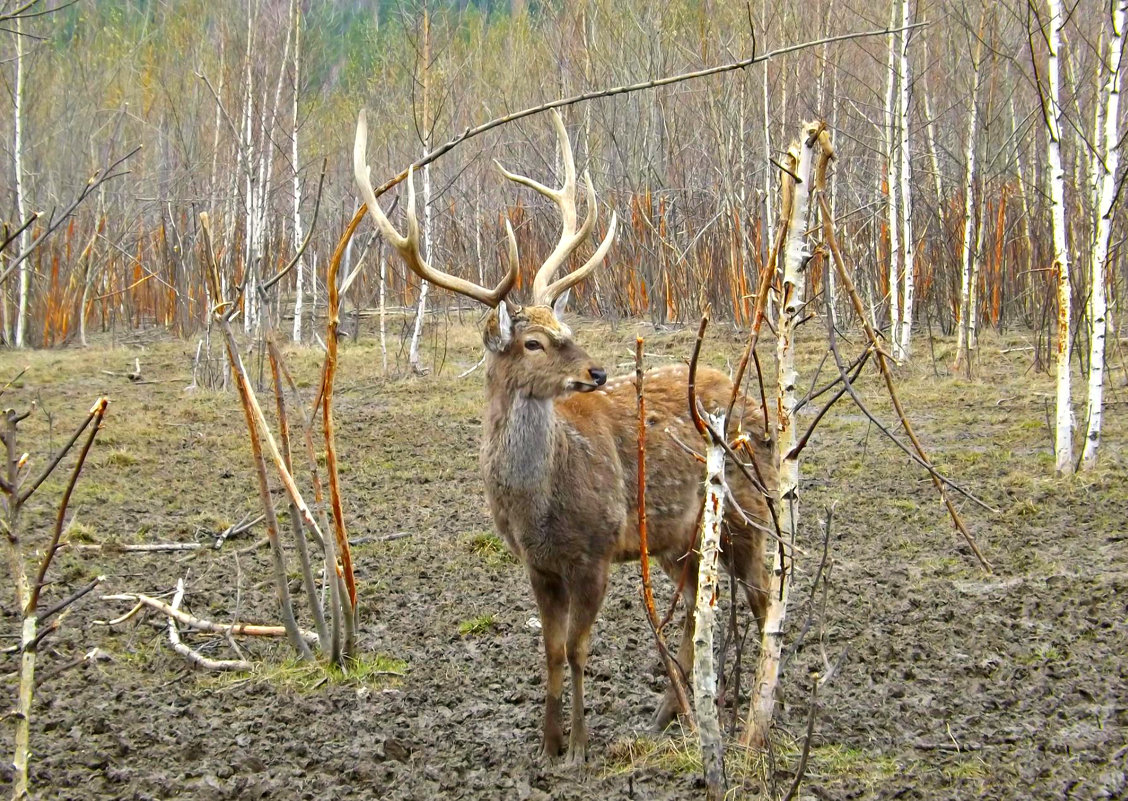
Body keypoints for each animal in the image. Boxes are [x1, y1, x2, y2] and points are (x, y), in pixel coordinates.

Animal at [354, 108, 776, 767]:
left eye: (566, 326)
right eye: (533, 342)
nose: (597, 372)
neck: (540, 507)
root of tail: (761, 409)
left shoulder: (596, 550)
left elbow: (578, 650)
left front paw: (578, 745)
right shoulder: (538, 564)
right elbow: (551, 650)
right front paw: (547, 742)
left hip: (745, 508)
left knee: (761, 596)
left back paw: (756, 718)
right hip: (678, 539)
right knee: (694, 609)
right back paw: (668, 716)